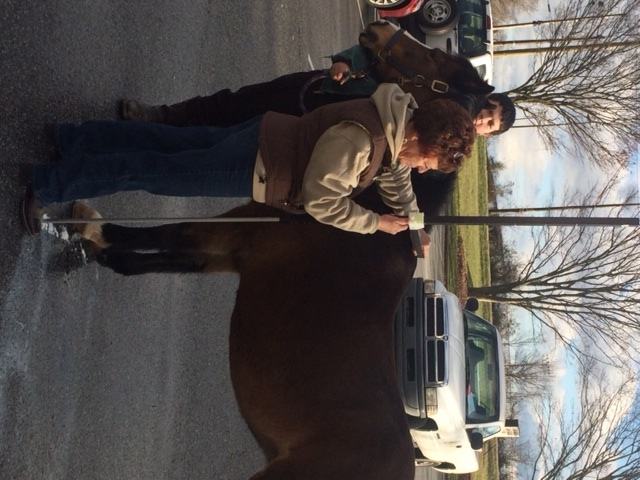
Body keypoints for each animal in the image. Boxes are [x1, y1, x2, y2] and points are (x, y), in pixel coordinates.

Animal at [70, 173, 455, 480]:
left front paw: (92, 227)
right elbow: (170, 260)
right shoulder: (223, 256)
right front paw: (109, 257)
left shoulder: (232, 231)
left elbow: (169, 235)